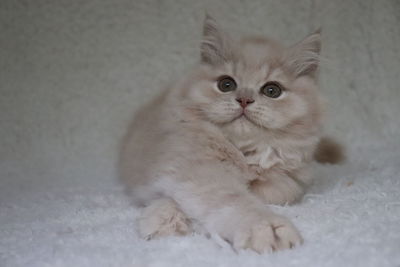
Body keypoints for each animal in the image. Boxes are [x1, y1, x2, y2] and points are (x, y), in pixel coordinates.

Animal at [120, 15, 336, 254]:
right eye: (226, 84)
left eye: (272, 90)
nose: (244, 100)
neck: (243, 152)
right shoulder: (193, 171)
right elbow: (233, 201)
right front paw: (267, 228)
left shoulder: (290, 181)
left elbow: (273, 191)